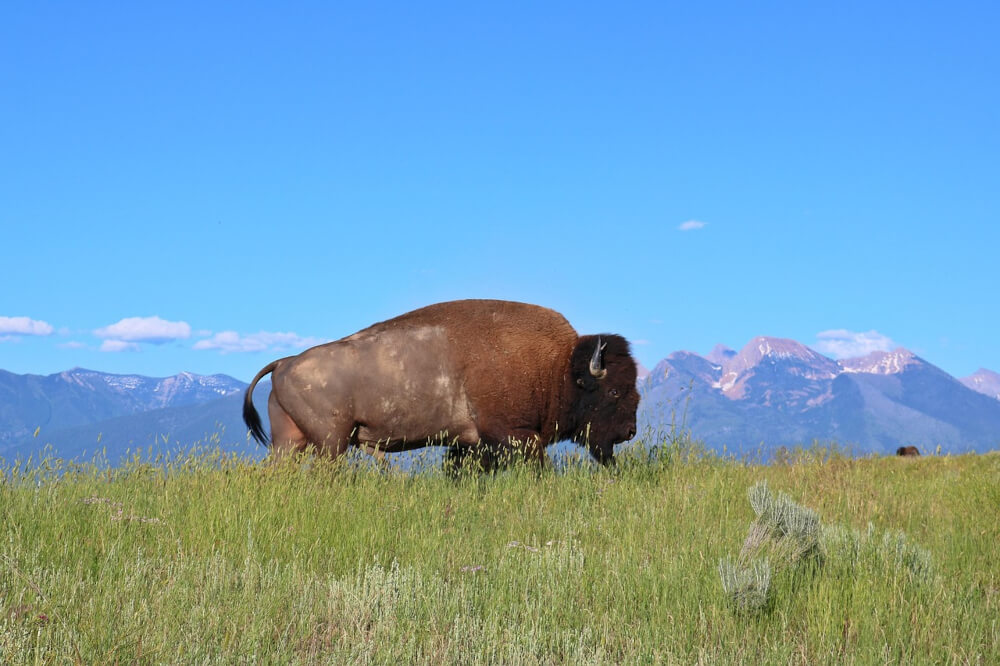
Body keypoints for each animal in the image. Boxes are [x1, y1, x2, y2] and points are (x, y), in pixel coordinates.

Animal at [243, 299, 640, 466]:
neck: (556, 367)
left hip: (290, 441)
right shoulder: (514, 435)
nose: (630, 431)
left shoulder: (469, 444)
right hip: (331, 442)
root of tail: (285, 362)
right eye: (615, 390)